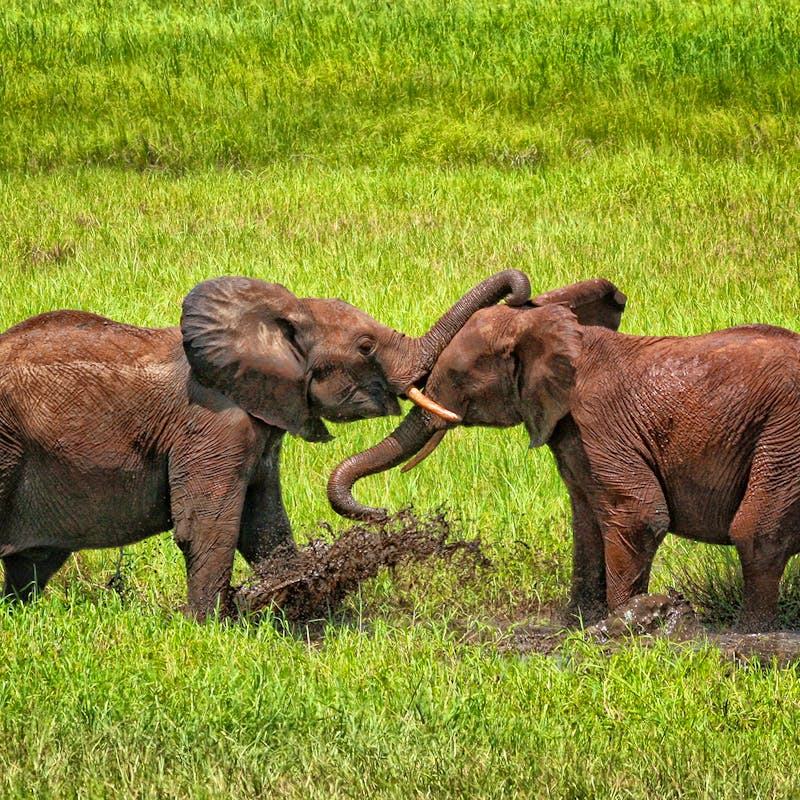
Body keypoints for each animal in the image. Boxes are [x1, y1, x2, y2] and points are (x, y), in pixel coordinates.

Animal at [0, 270, 532, 620]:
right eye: (365, 347)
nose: (519, 296)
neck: (275, 324)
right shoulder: (214, 422)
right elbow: (209, 526)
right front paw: (208, 629)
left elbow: (264, 527)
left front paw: (298, 605)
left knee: (33, 564)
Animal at [328, 280, 800, 632]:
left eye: (456, 376)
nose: (382, 513)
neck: (556, 332)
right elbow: (587, 520)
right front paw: (576, 625)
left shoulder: (600, 422)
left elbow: (637, 514)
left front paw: (623, 627)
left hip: (783, 435)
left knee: (754, 534)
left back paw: (749, 635)